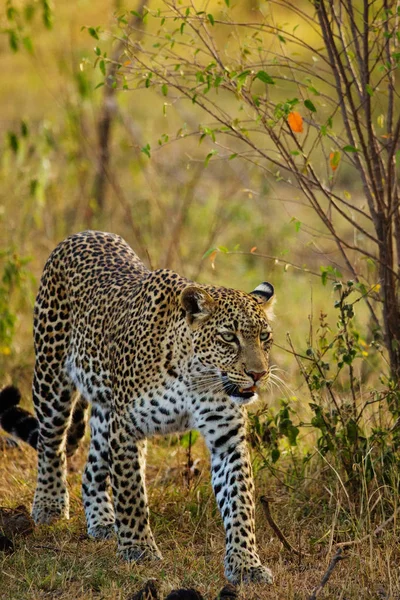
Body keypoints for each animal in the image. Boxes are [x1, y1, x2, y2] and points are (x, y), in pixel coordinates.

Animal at [0, 231, 276, 584]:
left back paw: (103, 521)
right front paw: (139, 548)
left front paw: (245, 563)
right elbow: (131, 492)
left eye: (264, 336)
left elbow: (240, 502)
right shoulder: (126, 427)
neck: (194, 376)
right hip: (51, 379)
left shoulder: (227, 439)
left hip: (104, 409)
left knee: (91, 470)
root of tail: (83, 234)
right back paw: (49, 504)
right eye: (228, 337)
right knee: (51, 443)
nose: (259, 374)